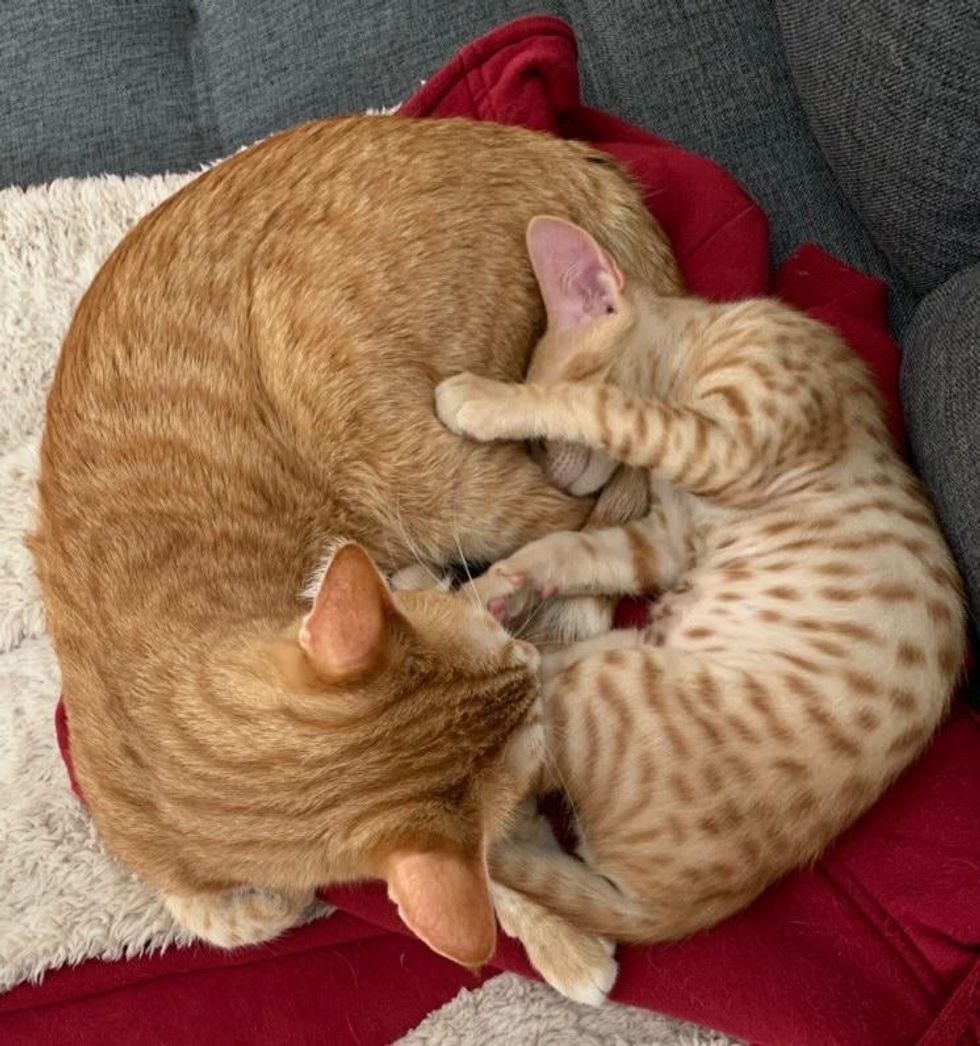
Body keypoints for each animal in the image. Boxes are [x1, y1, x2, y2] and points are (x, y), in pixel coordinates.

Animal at [30, 118, 677, 966]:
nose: (528, 659)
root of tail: (545, 145)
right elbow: (234, 913)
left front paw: (561, 942)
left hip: (415, 466)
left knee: (584, 503)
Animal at [432, 216, 962, 991]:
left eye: (540, 439)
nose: (550, 474)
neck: (711, 334)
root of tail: (680, 911)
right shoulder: (666, 539)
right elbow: (570, 548)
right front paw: (499, 581)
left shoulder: (723, 446)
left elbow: (601, 408)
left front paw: (483, 399)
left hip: (590, 678)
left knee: (503, 776)